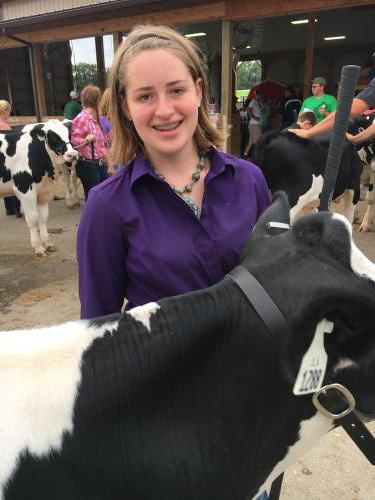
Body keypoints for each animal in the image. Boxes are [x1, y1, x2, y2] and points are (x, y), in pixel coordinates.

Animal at [0, 119, 78, 256]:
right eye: (52, 136)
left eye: (69, 134)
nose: (72, 154)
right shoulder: (25, 189)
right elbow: (32, 219)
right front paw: (38, 247)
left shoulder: (44, 192)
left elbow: (43, 217)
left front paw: (47, 244)